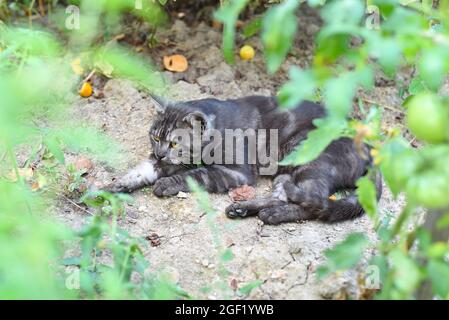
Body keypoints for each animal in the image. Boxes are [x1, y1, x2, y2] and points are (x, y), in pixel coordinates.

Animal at [107, 95, 380, 225]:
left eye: (174, 143)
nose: (160, 152)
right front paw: (113, 186)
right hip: (286, 171)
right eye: (155, 137)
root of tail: (371, 149)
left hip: (307, 159)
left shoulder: (236, 172)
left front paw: (166, 184)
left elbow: (196, 174)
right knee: (286, 195)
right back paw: (244, 209)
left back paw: (273, 215)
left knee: (314, 202)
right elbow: (140, 170)